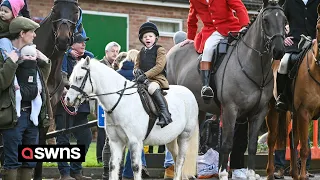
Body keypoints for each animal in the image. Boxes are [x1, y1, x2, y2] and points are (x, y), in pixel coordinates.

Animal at [64, 57, 199, 179]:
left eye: (79, 77)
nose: (67, 100)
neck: (122, 102)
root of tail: (190, 93)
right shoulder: (115, 142)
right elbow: (113, 166)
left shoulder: (135, 142)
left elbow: (136, 167)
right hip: (170, 139)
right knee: (176, 158)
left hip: (184, 136)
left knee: (180, 160)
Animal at [166, 0, 286, 179]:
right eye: (266, 20)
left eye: (285, 20)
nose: (279, 50)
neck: (254, 66)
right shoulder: (230, 110)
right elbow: (227, 144)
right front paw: (222, 174)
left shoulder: (259, 113)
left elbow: (251, 146)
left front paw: (251, 174)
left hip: (199, 111)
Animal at [264, 4, 320, 180]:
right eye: (318, 27)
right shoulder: (304, 112)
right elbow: (305, 150)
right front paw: (303, 176)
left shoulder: (301, 113)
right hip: (274, 109)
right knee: (273, 139)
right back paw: (271, 172)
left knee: (292, 138)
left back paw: (294, 173)